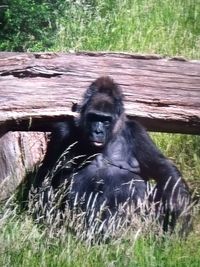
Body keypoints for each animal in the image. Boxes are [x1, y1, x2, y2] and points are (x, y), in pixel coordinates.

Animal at [34, 76, 191, 233]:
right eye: (93, 117)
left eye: (106, 120)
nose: (97, 132)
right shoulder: (61, 132)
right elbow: (47, 174)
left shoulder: (137, 132)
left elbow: (162, 167)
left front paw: (178, 206)